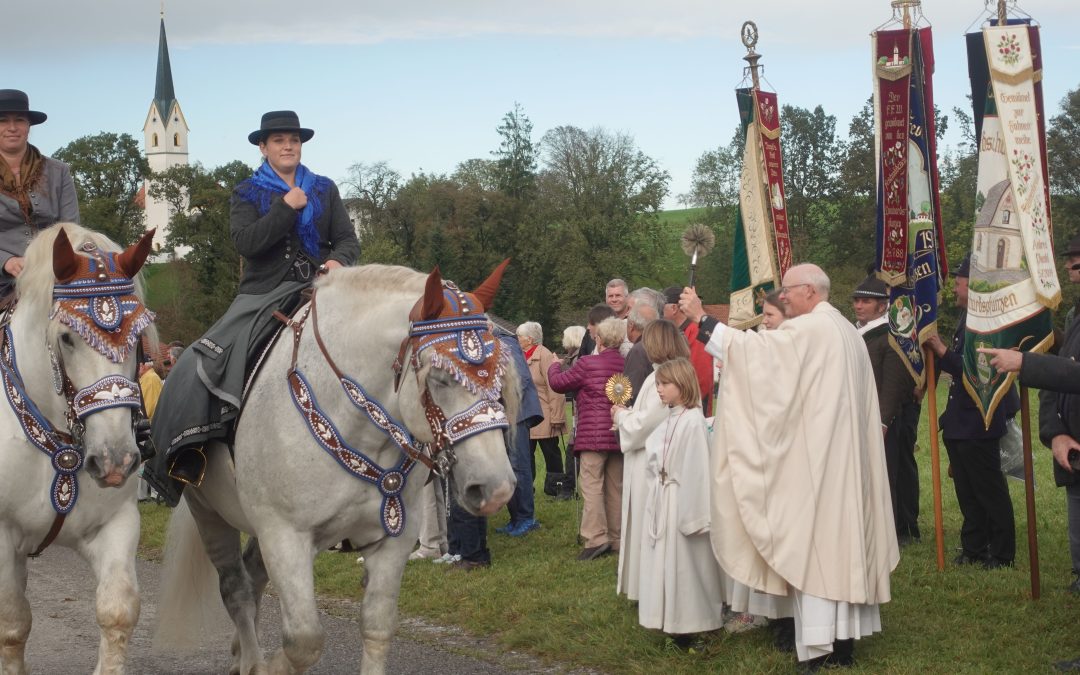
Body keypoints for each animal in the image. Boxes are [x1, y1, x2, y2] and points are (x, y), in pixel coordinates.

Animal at [0, 223, 156, 669]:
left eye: (137, 338)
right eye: (68, 338)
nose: (115, 460)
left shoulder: (116, 522)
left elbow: (117, 611)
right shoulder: (2, 540)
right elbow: (12, 626)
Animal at [155, 260, 518, 669]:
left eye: (500, 378)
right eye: (440, 378)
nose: (496, 489)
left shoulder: (391, 543)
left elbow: (377, 629)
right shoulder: (285, 536)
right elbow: (304, 642)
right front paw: (269, 667)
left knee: (253, 577)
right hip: (210, 513)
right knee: (237, 590)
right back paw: (248, 661)